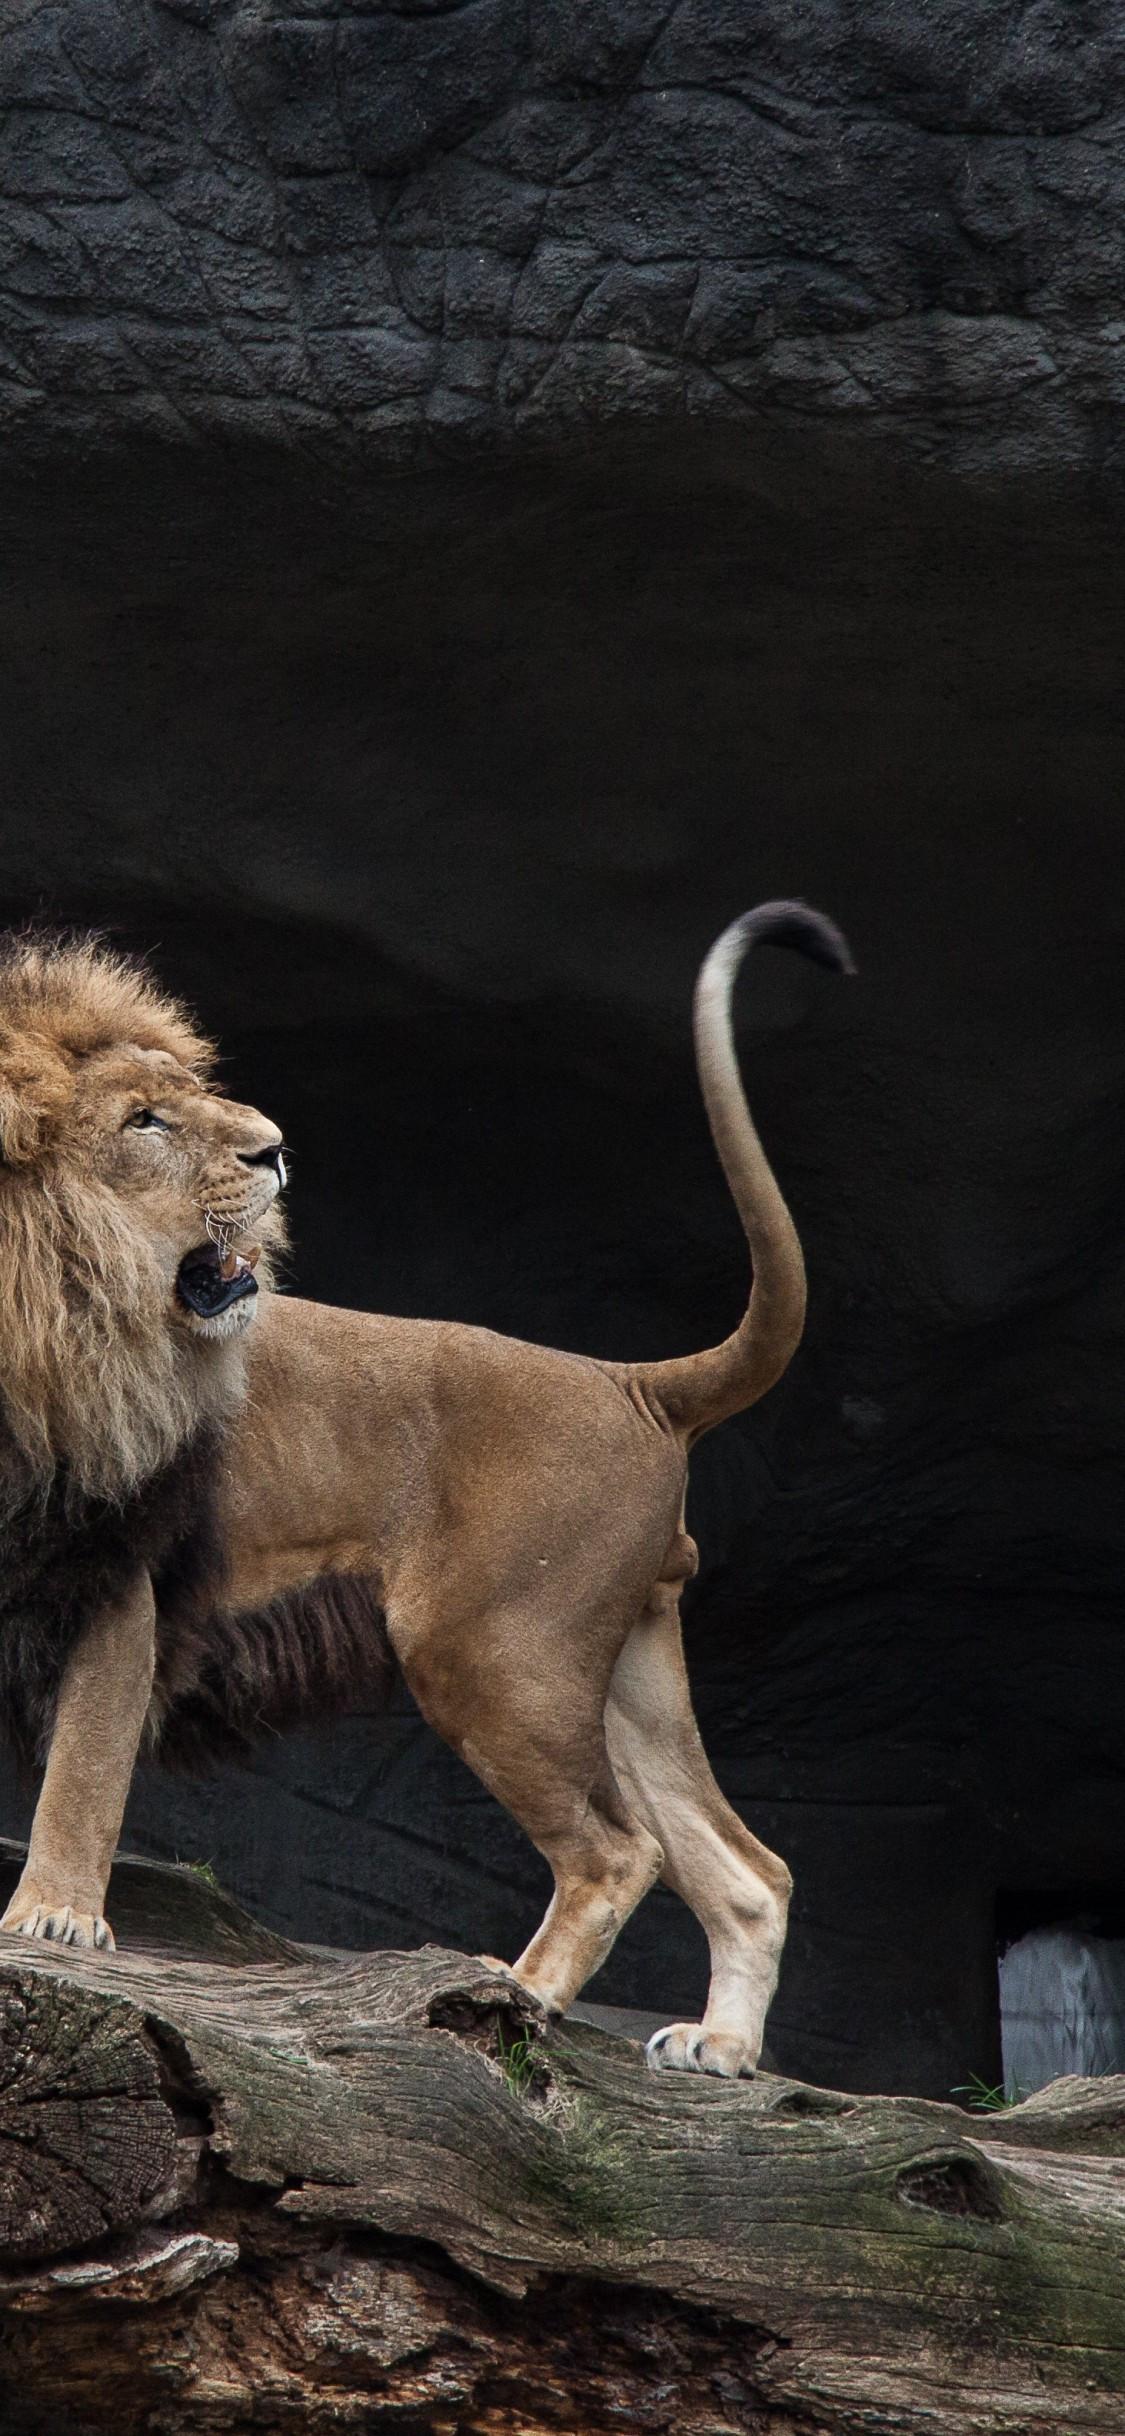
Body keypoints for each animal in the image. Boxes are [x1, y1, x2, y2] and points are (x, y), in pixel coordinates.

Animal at [0, 903, 852, 2078]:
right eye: (144, 1120)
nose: (273, 1147)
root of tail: (627, 1381)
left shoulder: (119, 1566)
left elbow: (83, 1766)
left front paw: (51, 1923)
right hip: (621, 1664)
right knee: (745, 1868)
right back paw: (718, 2049)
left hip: (491, 1649)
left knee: (616, 1852)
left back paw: (517, 2000)